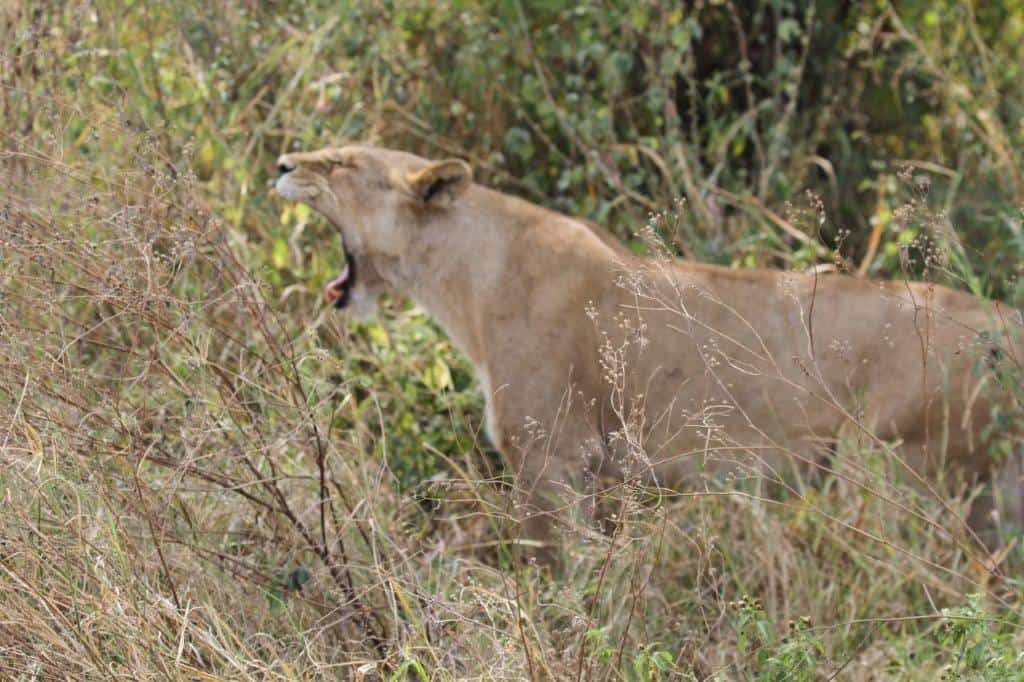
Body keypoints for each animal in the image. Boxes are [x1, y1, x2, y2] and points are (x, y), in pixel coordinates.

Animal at [274, 144, 1023, 554]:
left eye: (340, 163)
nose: (280, 163)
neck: (463, 274)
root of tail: (1006, 325)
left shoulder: (549, 459)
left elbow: (554, 575)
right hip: (991, 497)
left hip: (894, 474)